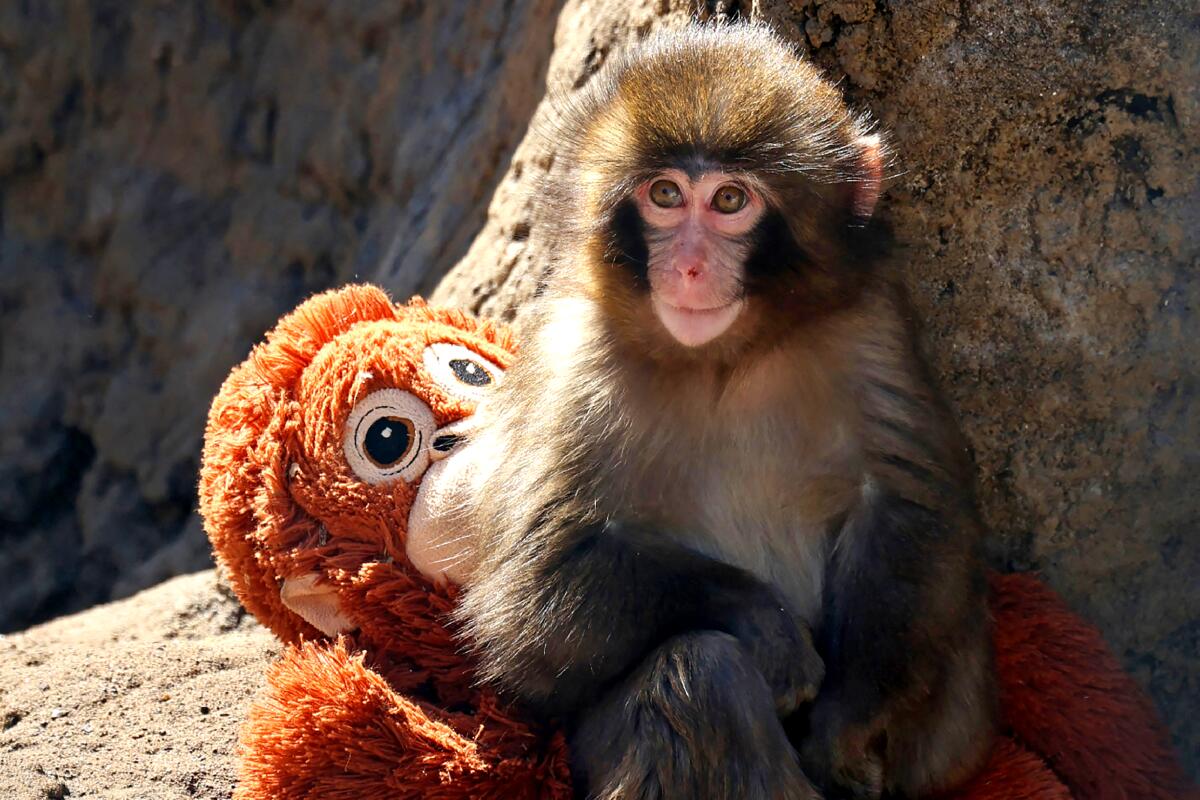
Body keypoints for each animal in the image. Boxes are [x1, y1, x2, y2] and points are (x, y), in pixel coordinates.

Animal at [453, 23, 997, 800]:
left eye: (731, 201)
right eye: (665, 194)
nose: (686, 266)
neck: (724, 360)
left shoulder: (870, 324)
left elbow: (907, 506)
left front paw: (846, 724)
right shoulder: (573, 359)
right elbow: (535, 590)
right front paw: (763, 622)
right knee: (700, 675)